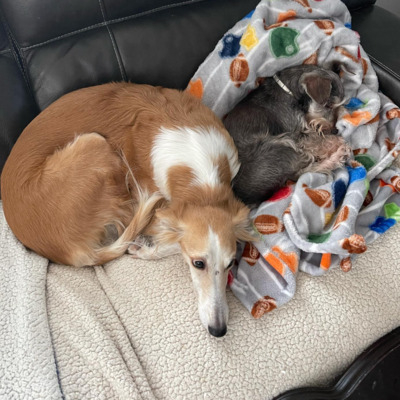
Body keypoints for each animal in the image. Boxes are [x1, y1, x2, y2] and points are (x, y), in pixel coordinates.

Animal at [1, 83, 255, 338]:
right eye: (198, 263)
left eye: (231, 264)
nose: (219, 330)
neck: (201, 177)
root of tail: (67, 251)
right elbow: (171, 238)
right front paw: (147, 248)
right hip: (95, 144)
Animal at [223, 65, 352, 206]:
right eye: (328, 105)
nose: (334, 130)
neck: (288, 90)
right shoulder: (296, 133)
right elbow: (317, 141)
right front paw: (338, 142)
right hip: (282, 146)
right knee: (302, 170)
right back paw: (338, 156)